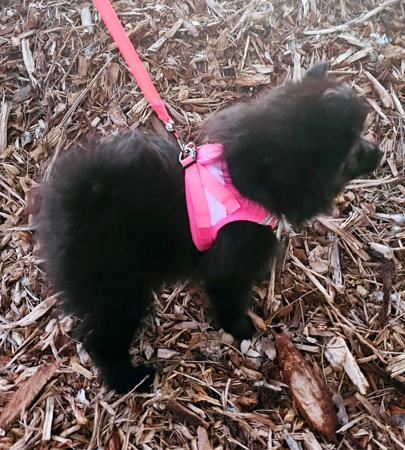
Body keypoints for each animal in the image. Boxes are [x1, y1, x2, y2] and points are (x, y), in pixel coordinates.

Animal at [36, 63, 382, 393]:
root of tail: (74, 199)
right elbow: (229, 298)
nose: (379, 151)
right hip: (119, 288)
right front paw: (242, 329)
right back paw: (129, 380)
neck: (252, 179)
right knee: (102, 340)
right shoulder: (230, 263)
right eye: (354, 149)